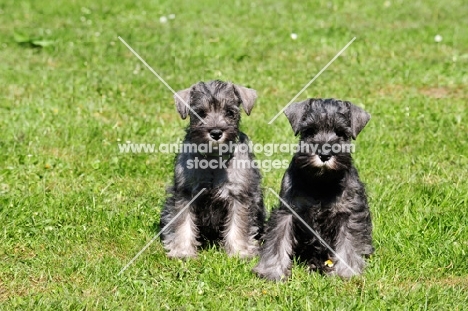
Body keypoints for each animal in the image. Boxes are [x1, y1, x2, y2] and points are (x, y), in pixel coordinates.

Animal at [161, 80, 266, 258]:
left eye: (229, 112)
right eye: (200, 113)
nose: (216, 132)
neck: (213, 161)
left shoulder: (239, 195)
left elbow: (238, 225)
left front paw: (239, 252)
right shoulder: (185, 194)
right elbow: (183, 223)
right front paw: (182, 252)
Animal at [252, 98, 372, 282]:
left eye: (341, 134)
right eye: (310, 131)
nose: (324, 154)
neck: (320, 182)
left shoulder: (348, 213)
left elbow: (348, 243)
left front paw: (346, 272)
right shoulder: (287, 211)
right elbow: (278, 240)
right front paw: (272, 271)